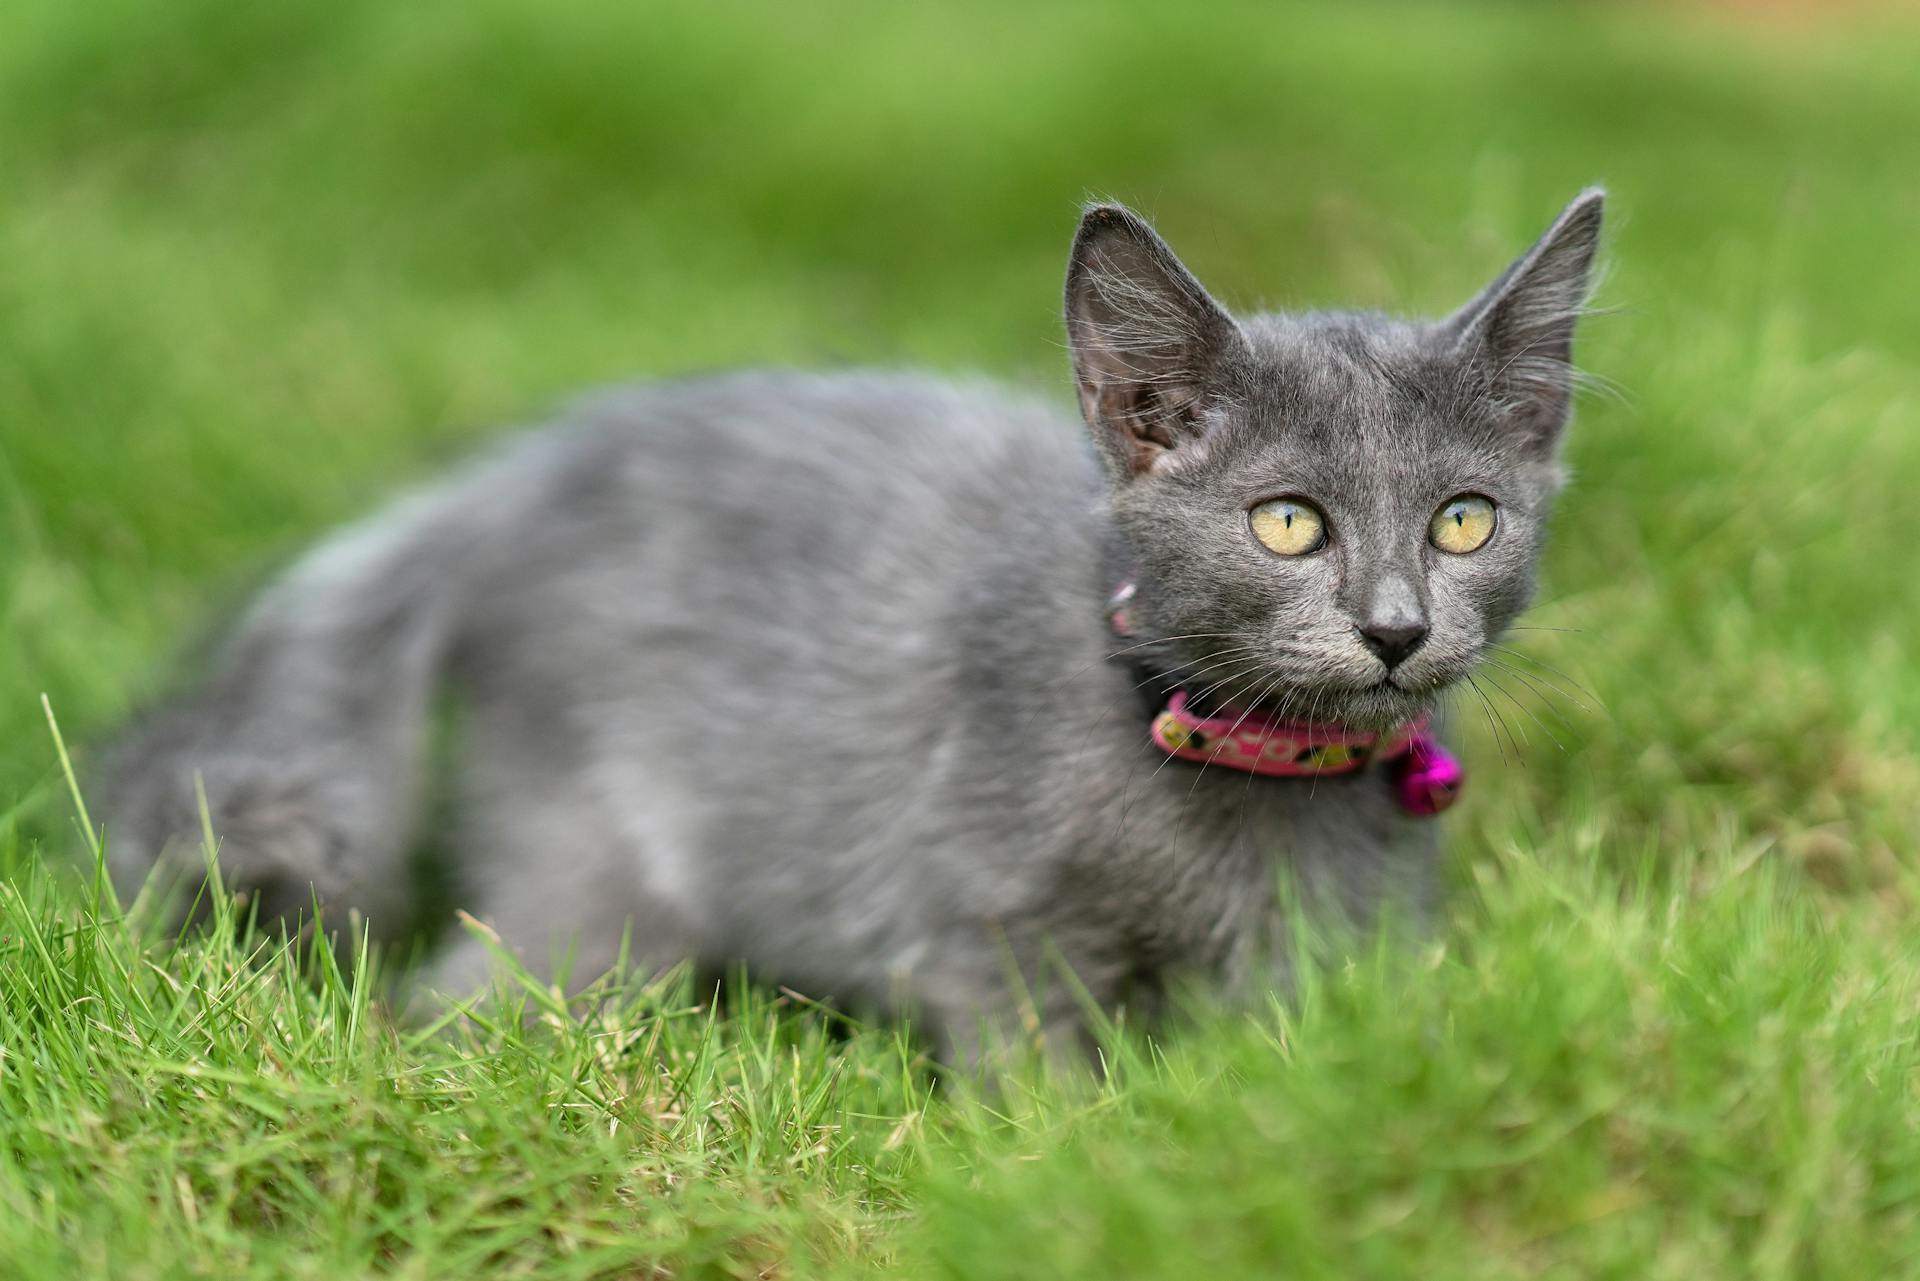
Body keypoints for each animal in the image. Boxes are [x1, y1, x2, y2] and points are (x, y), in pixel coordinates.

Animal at [101, 188, 1605, 1052]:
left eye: (1463, 522)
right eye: (1287, 523)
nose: (1397, 629)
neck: (1252, 786)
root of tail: (524, 480)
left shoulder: (1334, 955)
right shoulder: (983, 933)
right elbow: (1041, 1081)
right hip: (597, 876)